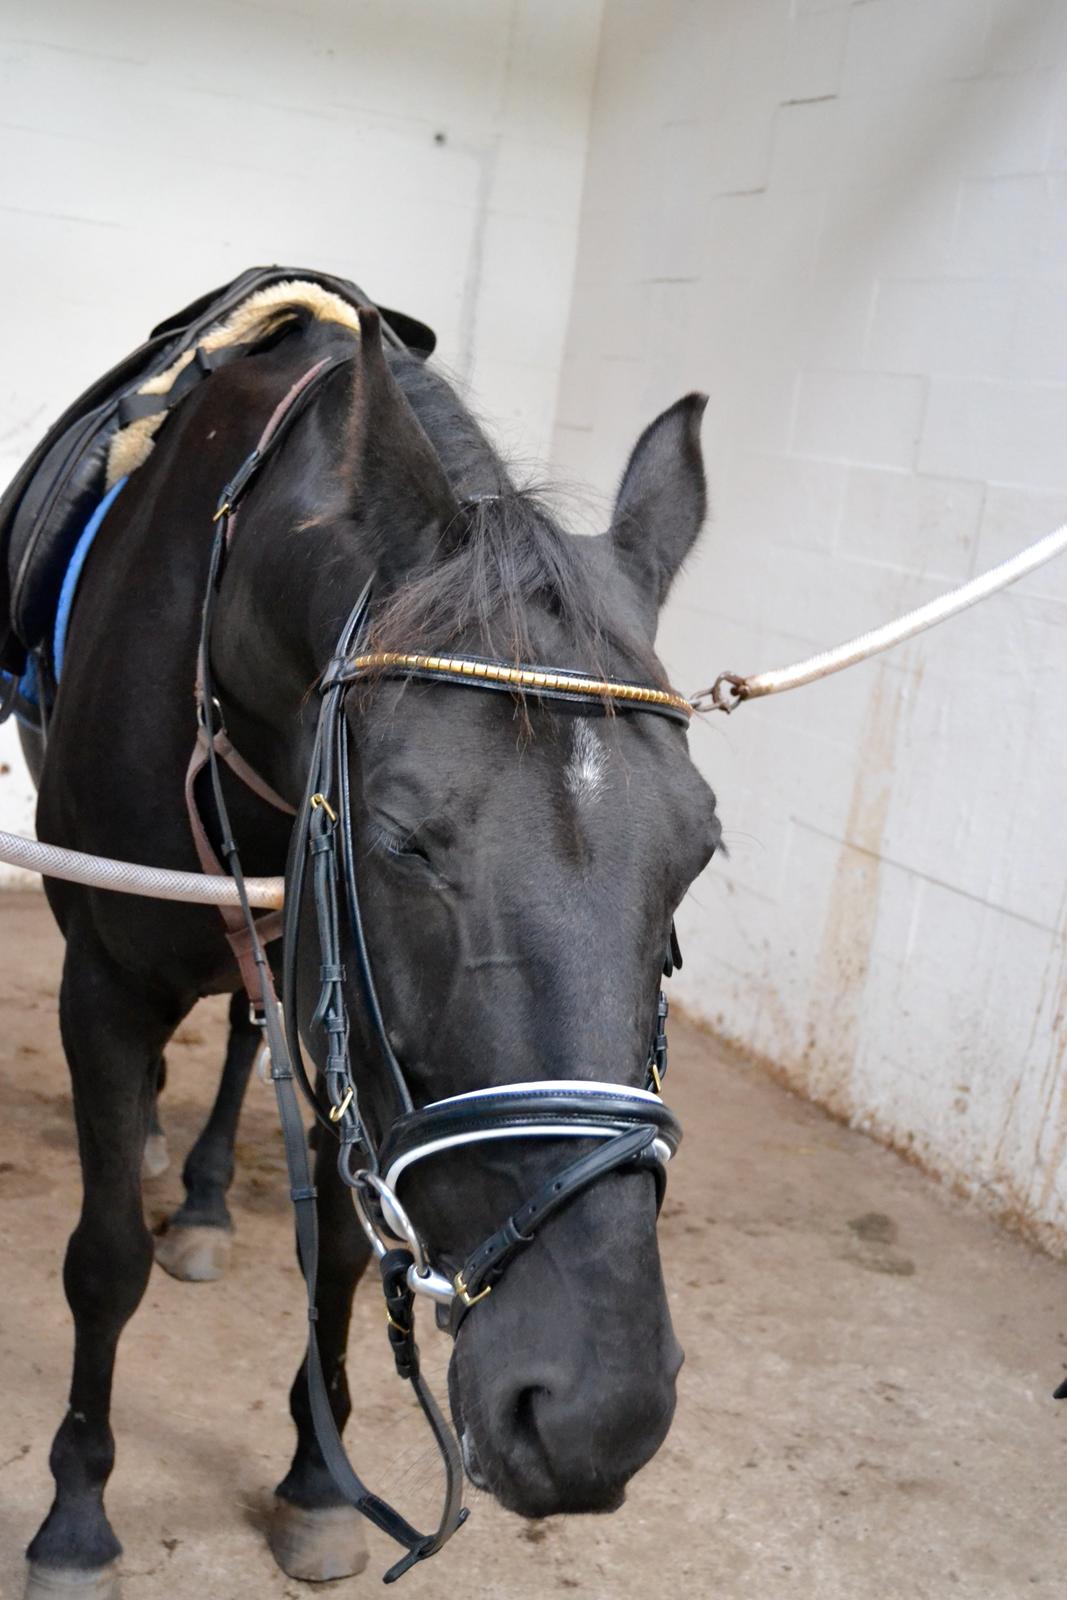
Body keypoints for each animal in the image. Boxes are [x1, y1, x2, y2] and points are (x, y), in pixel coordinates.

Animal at [16, 297, 723, 1587]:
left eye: (699, 849)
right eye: (399, 839)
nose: (597, 1409)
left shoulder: (346, 1021)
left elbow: (342, 1256)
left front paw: (315, 1477)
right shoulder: (102, 982)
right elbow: (103, 1259)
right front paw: (79, 1515)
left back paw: (201, 1194)